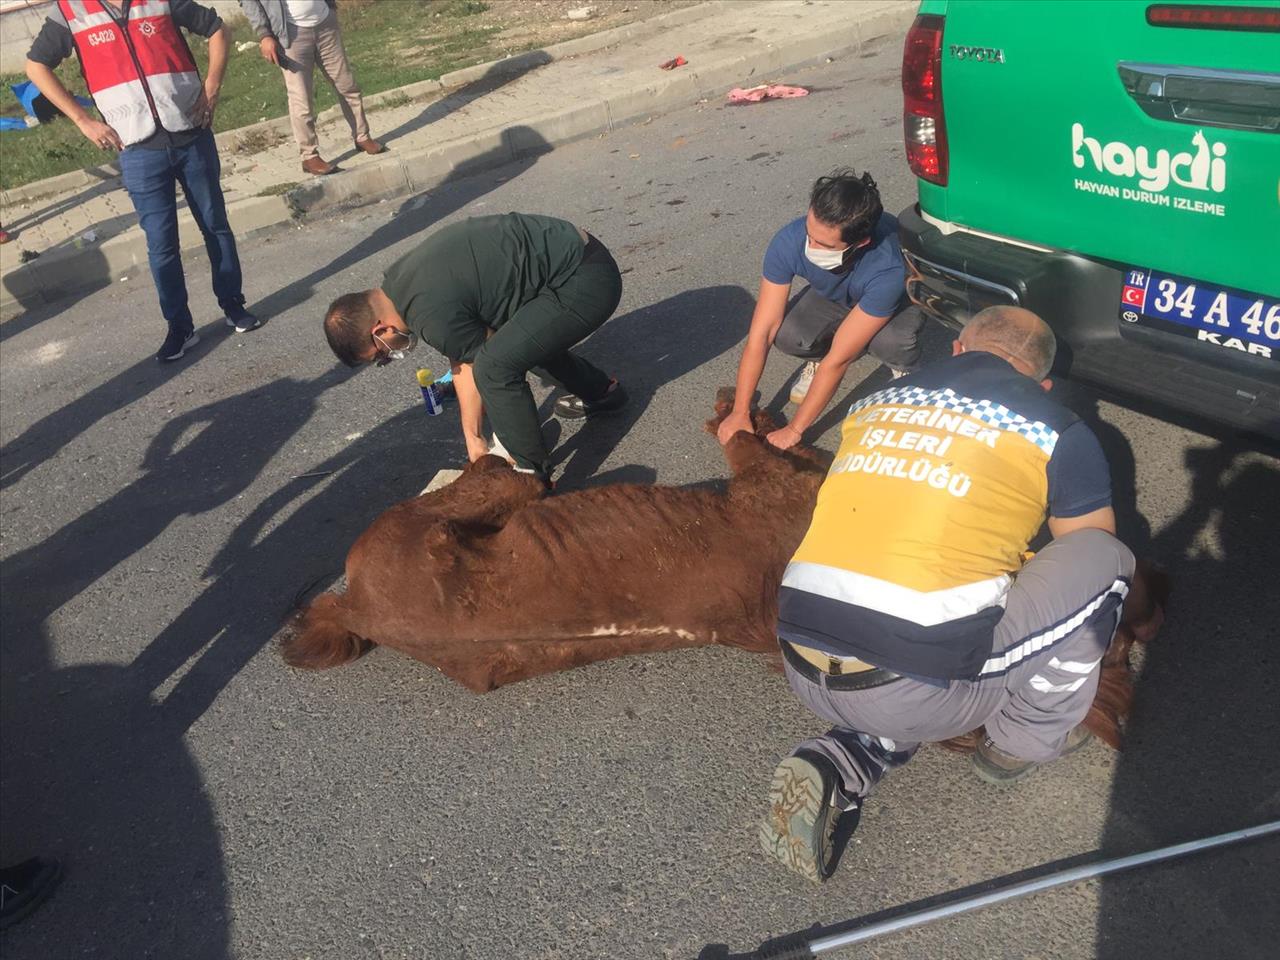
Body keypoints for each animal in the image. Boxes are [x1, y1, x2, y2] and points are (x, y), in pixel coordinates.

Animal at [285, 391, 1167, 752]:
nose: (1165, 602)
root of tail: (359, 610)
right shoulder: (772, 482)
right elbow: (754, 437)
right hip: (462, 509)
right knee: (490, 472)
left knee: (493, 474)